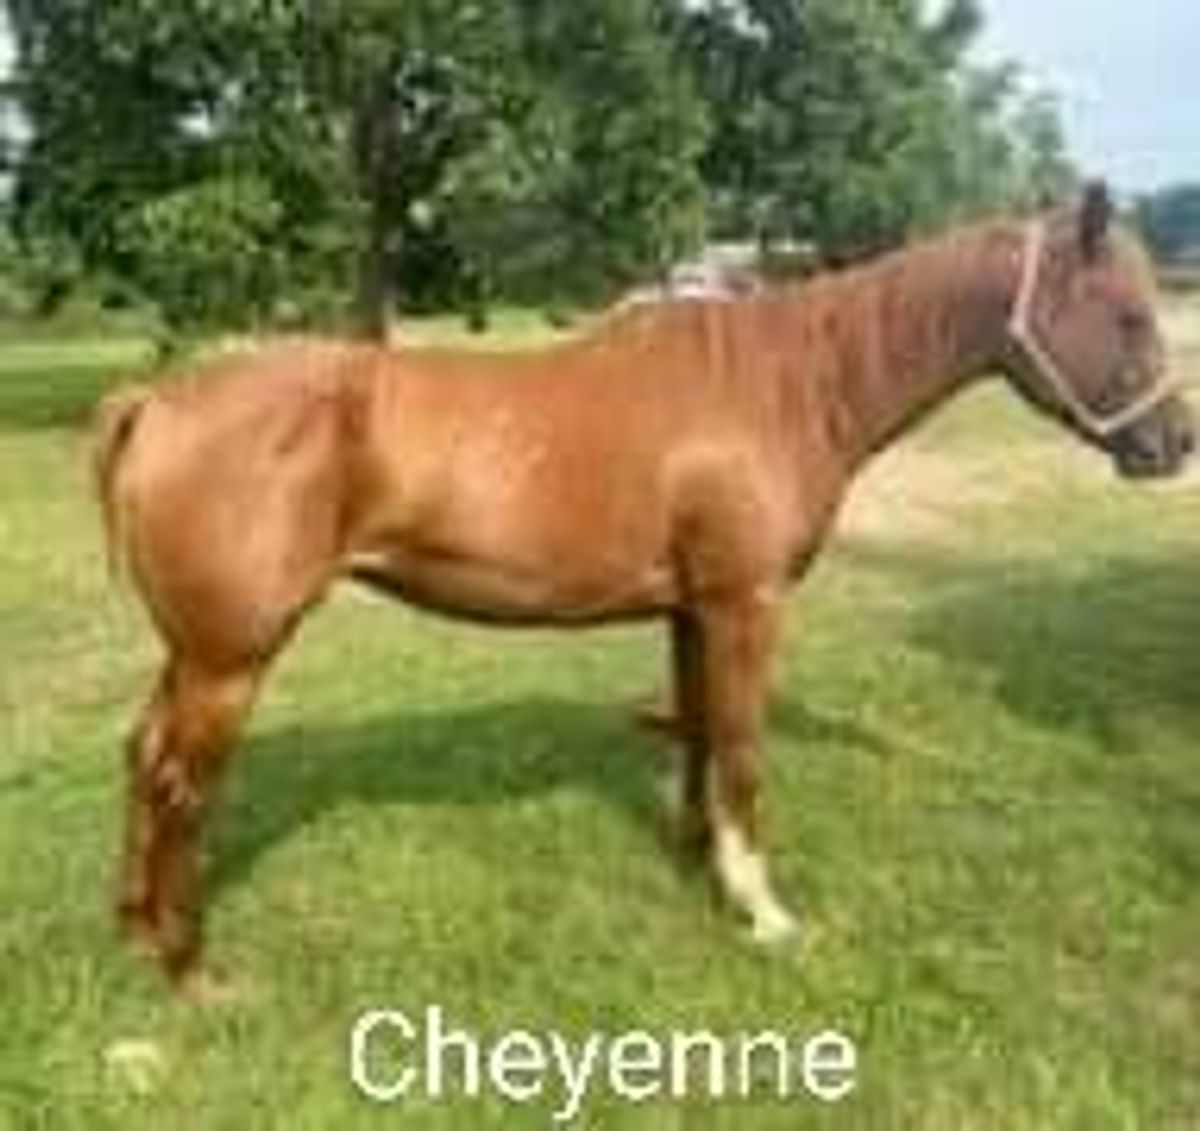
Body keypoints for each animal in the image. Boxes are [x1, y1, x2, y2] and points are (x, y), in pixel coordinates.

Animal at [94, 183, 1193, 998]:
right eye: (1128, 314)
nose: (1171, 444)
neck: (785, 384)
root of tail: (158, 401)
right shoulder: (746, 605)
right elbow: (742, 749)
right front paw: (761, 909)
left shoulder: (690, 609)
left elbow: (700, 730)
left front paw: (697, 856)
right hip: (231, 658)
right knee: (182, 784)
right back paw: (191, 969)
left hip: (190, 653)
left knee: (142, 755)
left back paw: (134, 931)